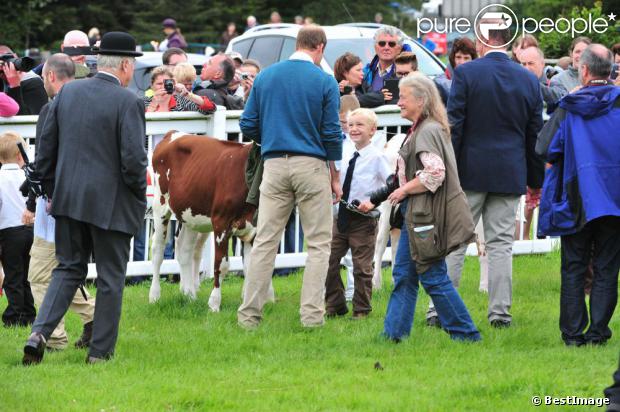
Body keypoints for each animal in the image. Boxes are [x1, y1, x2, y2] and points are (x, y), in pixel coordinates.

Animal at [149, 132, 272, 312]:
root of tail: (173, 133)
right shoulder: (221, 222)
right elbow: (221, 265)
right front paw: (214, 303)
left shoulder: (254, 229)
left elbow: (253, 267)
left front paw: (249, 304)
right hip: (160, 206)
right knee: (158, 250)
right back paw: (154, 296)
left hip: (190, 214)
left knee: (184, 249)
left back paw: (189, 295)